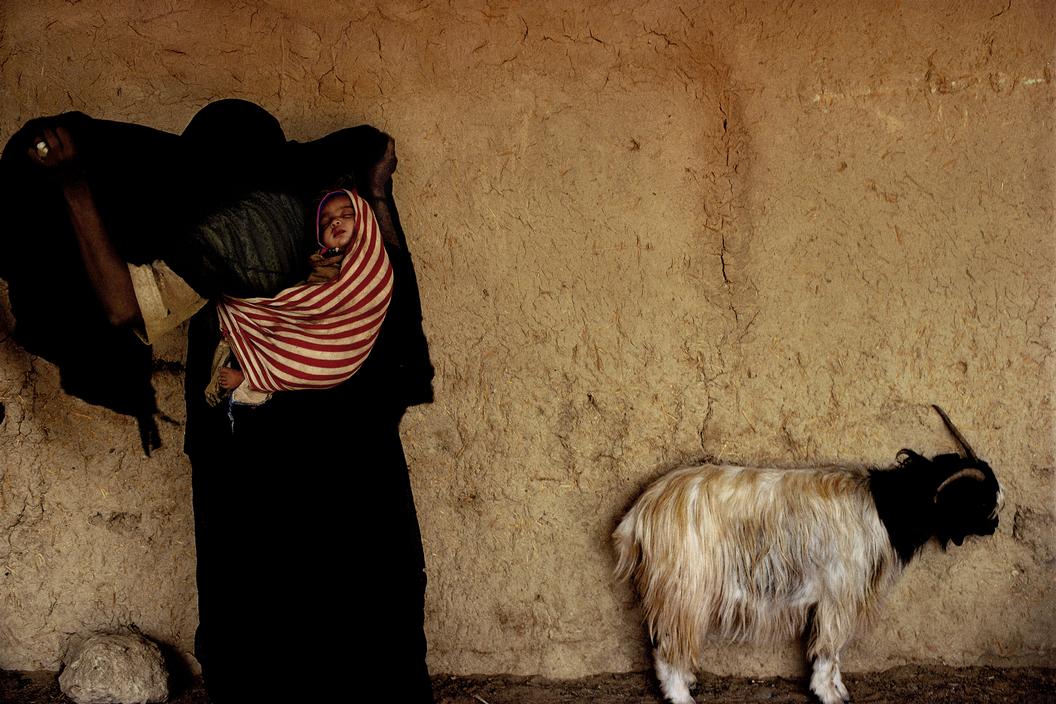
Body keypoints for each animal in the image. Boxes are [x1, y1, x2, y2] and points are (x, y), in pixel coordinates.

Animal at [612, 406, 1002, 704]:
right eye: (981, 502)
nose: (996, 525)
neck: (888, 508)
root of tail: (640, 514)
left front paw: (839, 689)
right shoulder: (838, 593)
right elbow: (829, 648)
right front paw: (828, 694)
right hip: (684, 585)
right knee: (666, 644)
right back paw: (681, 695)